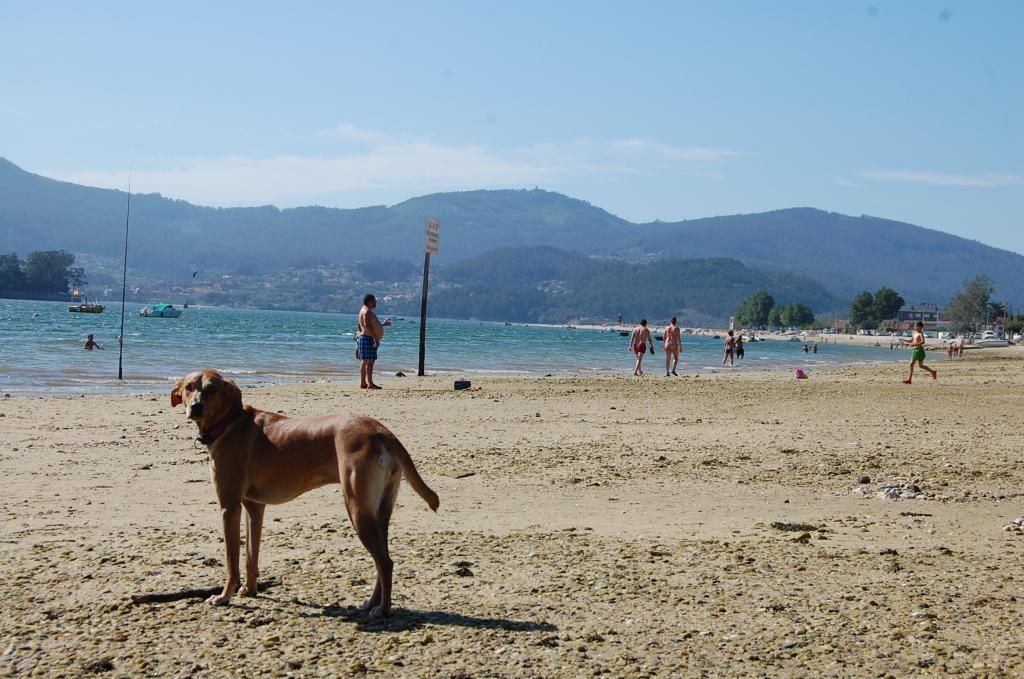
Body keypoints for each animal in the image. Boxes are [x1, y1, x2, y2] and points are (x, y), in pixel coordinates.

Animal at [168, 368, 440, 618]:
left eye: (212, 389)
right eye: (190, 387)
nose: (195, 407)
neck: (229, 423)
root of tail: (382, 431)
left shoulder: (229, 506)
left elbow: (232, 562)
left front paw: (225, 596)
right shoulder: (254, 507)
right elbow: (251, 556)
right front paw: (250, 589)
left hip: (357, 507)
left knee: (385, 561)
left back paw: (383, 609)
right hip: (380, 511)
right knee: (382, 558)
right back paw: (372, 602)